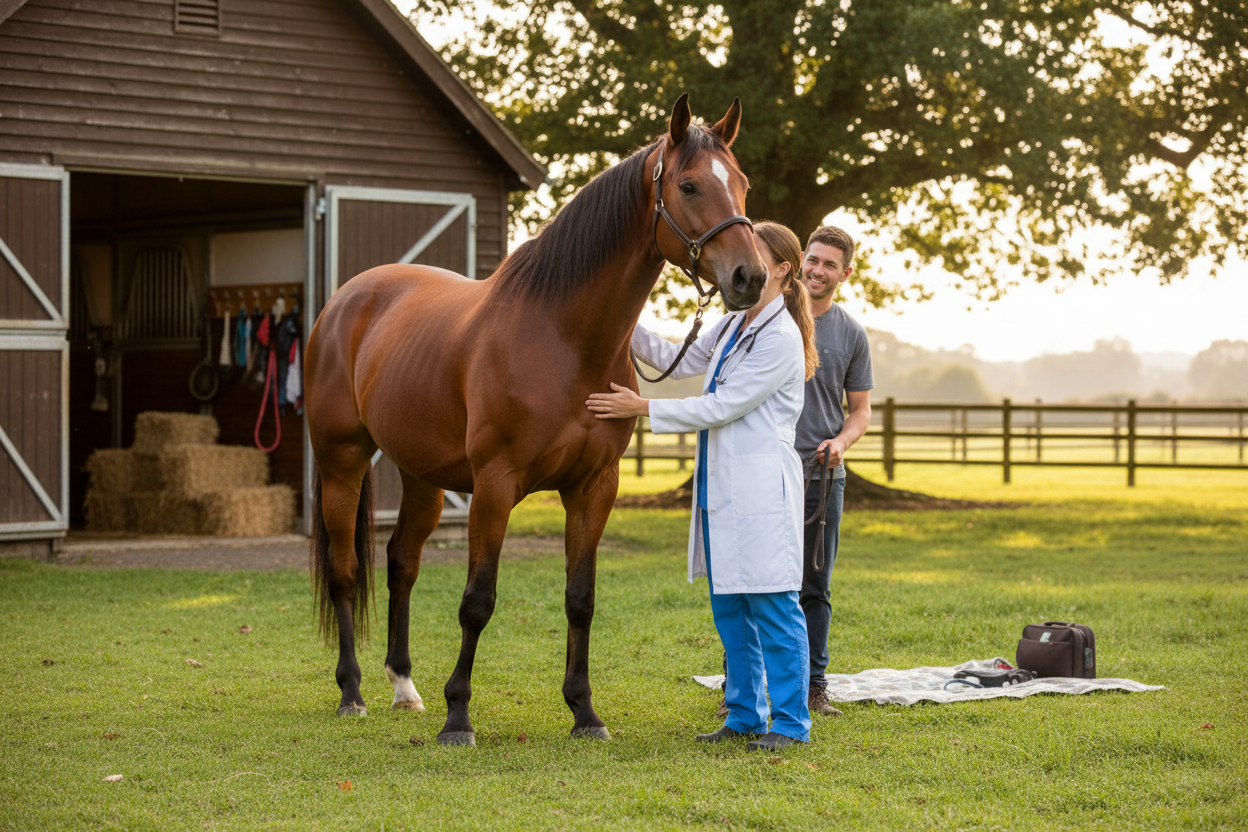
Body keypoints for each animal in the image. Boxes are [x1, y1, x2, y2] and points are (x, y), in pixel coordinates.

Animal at [304, 94, 767, 746]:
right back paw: (352, 692)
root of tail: (347, 299)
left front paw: (584, 712)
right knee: (345, 570)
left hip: (423, 475)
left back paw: (403, 687)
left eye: (742, 183)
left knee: (401, 564)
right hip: (341, 463)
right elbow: (478, 600)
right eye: (689, 184)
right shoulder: (495, 485)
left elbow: (580, 598)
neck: (563, 338)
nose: (749, 277)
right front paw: (458, 717)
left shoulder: (594, 487)